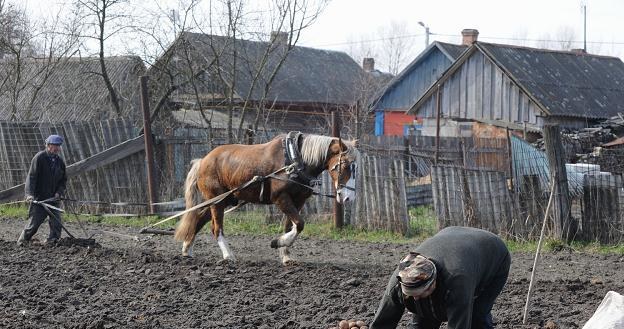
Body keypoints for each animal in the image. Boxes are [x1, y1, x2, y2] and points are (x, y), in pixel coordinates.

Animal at [176, 131, 358, 264]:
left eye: (356, 167)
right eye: (345, 165)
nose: (348, 197)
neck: (294, 160)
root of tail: (202, 160)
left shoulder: (298, 201)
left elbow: (291, 226)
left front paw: (285, 254)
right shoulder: (281, 198)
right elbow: (299, 224)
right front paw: (277, 243)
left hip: (225, 199)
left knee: (199, 219)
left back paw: (187, 249)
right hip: (217, 201)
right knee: (216, 228)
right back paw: (228, 255)